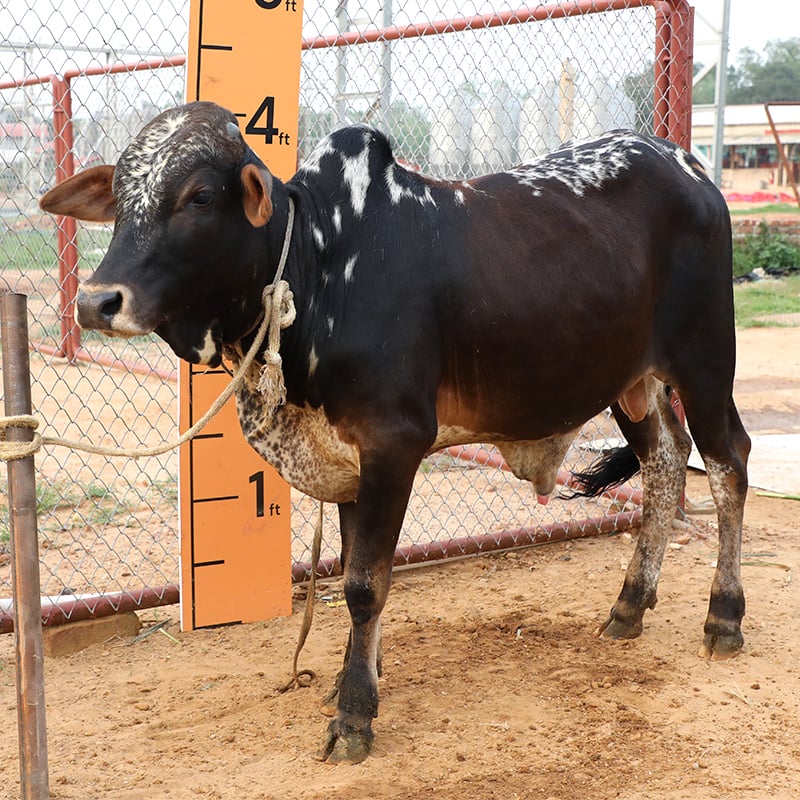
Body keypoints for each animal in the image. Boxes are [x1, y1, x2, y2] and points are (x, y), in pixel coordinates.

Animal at [39, 101, 750, 764]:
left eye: (200, 196)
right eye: (122, 196)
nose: (97, 302)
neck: (319, 268)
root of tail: (685, 164)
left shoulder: (393, 445)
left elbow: (363, 585)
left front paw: (354, 714)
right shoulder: (350, 463)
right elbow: (357, 571)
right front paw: (356, 680)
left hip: (705, 360)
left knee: (728, 466)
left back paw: (724, 615)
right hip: (631, 383)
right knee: (665, 463)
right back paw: (630, 604)